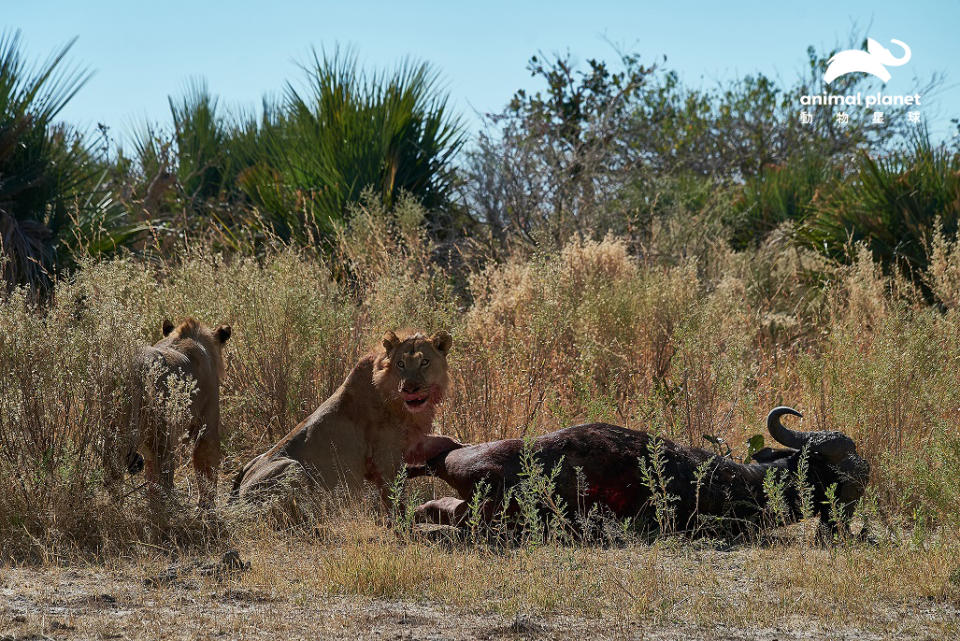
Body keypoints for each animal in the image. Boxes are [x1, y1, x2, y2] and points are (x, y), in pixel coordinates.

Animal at [231, 330, 460, 504]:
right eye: (401, 364)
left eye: (425, 362)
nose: (410, 389)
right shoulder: (386, 458)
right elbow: (395, 500)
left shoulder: (411, 443)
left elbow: (445, 441)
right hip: (293, 468)